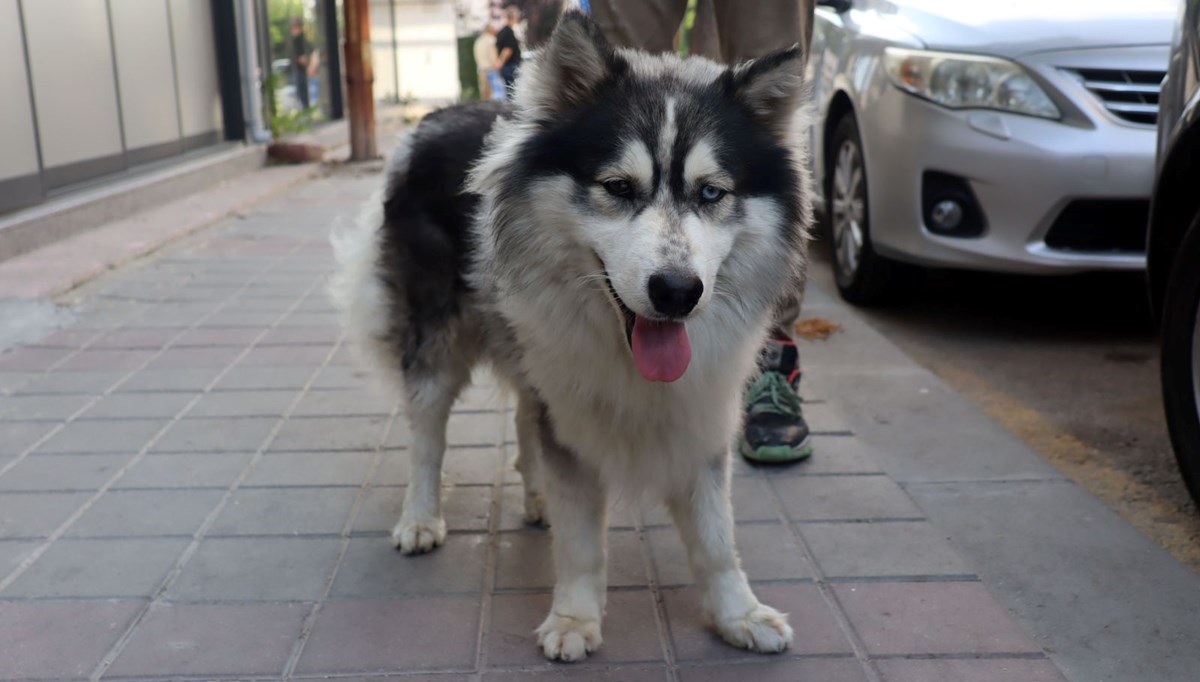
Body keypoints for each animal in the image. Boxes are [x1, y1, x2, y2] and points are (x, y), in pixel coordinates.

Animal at [333, 10, 811, 662]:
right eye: (618, 187)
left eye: (711, 192)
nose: (677, 291)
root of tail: (433, 116)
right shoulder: (571, 413)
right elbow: (582, 537)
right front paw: (575, 618)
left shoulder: (702, 408)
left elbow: (715, 536)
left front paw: (738, 613)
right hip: (436, 339)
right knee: (428, 433)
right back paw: (422, 517)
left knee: (523, 417)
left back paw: (535, 499)